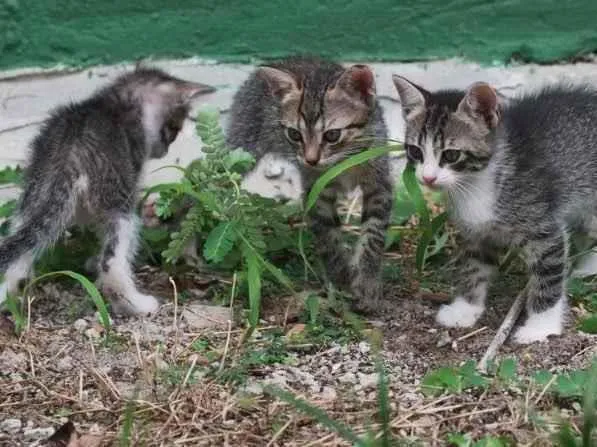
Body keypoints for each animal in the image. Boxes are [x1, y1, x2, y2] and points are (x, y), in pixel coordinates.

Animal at [0, 68, 214, 316]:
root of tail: (70, 150)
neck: (116, 102)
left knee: (20, 242)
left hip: (35, 191)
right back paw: (137, 305)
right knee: (112, 262)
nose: (165, 150)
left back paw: (8, 295)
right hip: (119, 202)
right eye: (172, 130)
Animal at [225, 57, 392, 312]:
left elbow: (373, 235)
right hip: (241, 145)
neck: (344, 160)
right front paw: (340, 275)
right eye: (294, 134)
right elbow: (327, 236)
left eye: (332, 135)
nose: (310, 159)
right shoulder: (316, 189)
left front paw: (367, 282)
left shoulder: (379, 183)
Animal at [392, 75, 597, 344]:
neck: (476, 184)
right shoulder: (476, 232)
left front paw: (541, 325)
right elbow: (474, 267)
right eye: (415, 151)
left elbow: (548, 275)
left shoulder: (544, 229)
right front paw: (465, 309)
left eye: (451, 155)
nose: (427, 178)